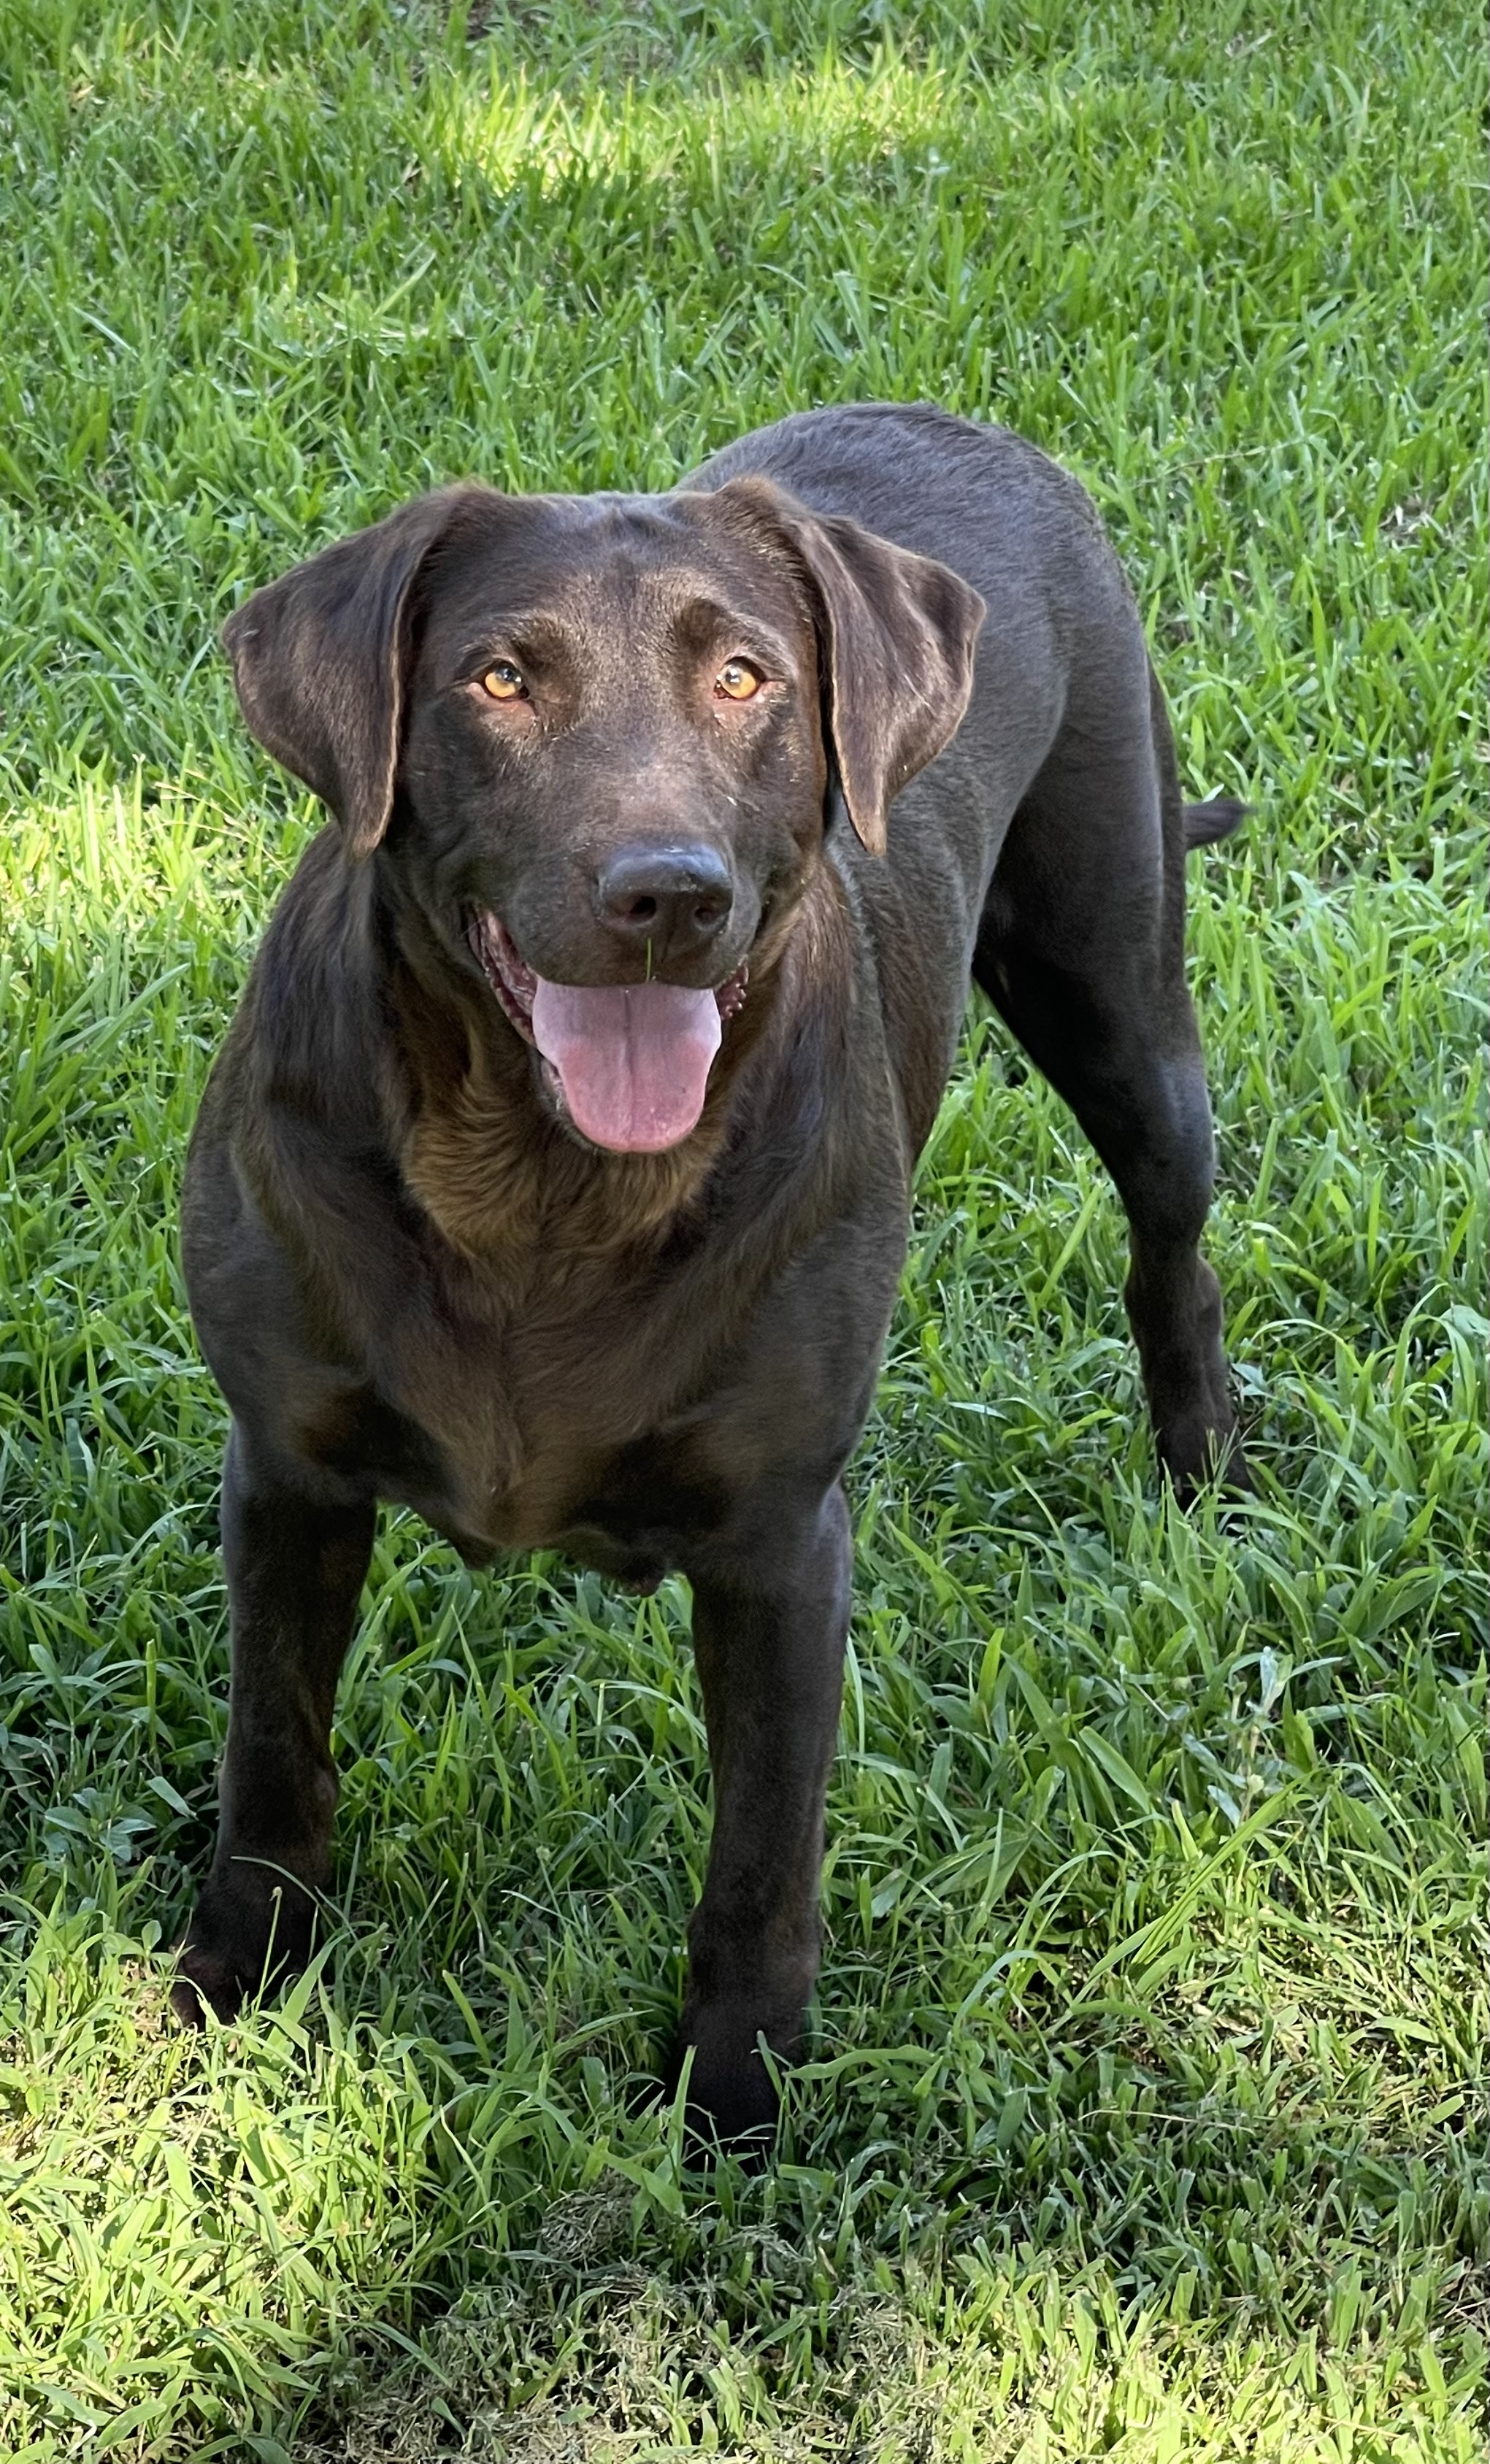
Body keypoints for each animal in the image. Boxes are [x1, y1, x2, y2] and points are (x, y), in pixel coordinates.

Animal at [171, 404, 1241, 2138]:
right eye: (499, 679)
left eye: (745, 677)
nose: (667, 890)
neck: (540, 1187)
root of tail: (967, 422)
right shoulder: (287, 1473)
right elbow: (272, 1746)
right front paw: (237, 1973)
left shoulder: (777, 1543)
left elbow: (761, 1850)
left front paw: (736, 2092)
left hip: (1119, 988)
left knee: (1173, 1248)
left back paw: (1204, 1464)